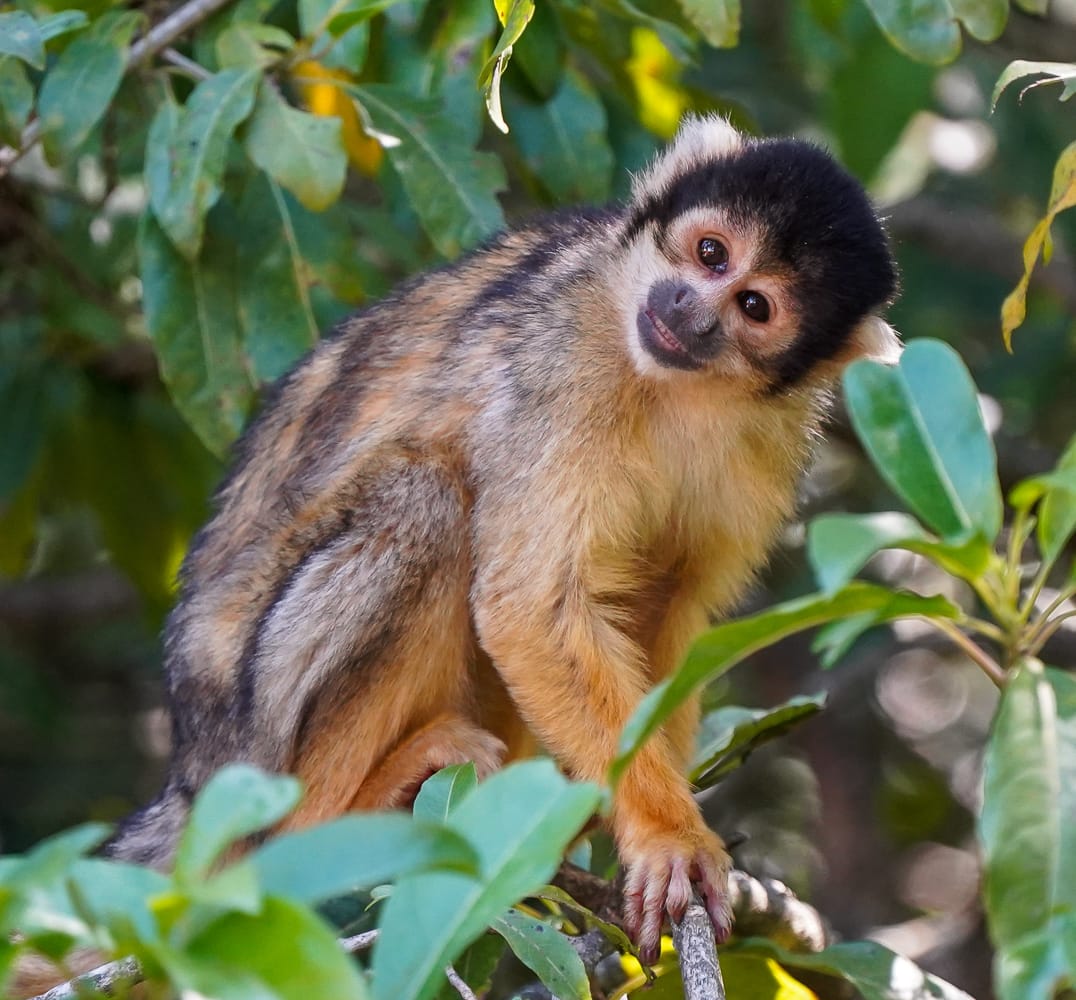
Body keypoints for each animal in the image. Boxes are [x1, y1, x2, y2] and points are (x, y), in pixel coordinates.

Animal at [50, 113, 903, 973]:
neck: (681, 388)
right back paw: (334, 818)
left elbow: (668, 605)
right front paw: (665, 833)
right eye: (710, 253)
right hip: (260, 731)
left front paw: (632, 820)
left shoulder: (773, 438)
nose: (687, 309)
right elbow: (531, 605)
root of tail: (195, 764)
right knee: (425, 502)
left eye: (753, 306)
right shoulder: (566, 359)